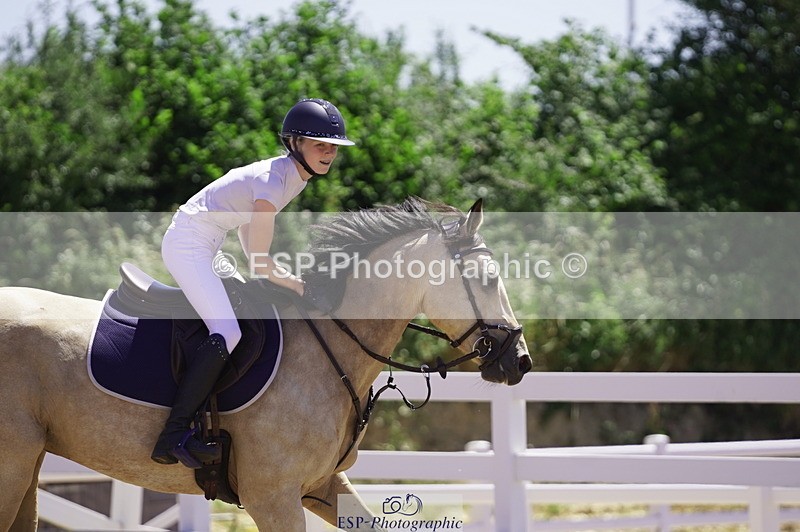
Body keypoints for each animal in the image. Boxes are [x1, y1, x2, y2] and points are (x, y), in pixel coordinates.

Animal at [0, 197, 532, 531]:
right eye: (488, 279)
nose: (521, 362)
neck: (331, 345)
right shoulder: (272, 498)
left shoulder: (320, 486)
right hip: (13, 462)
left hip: (30, 464)